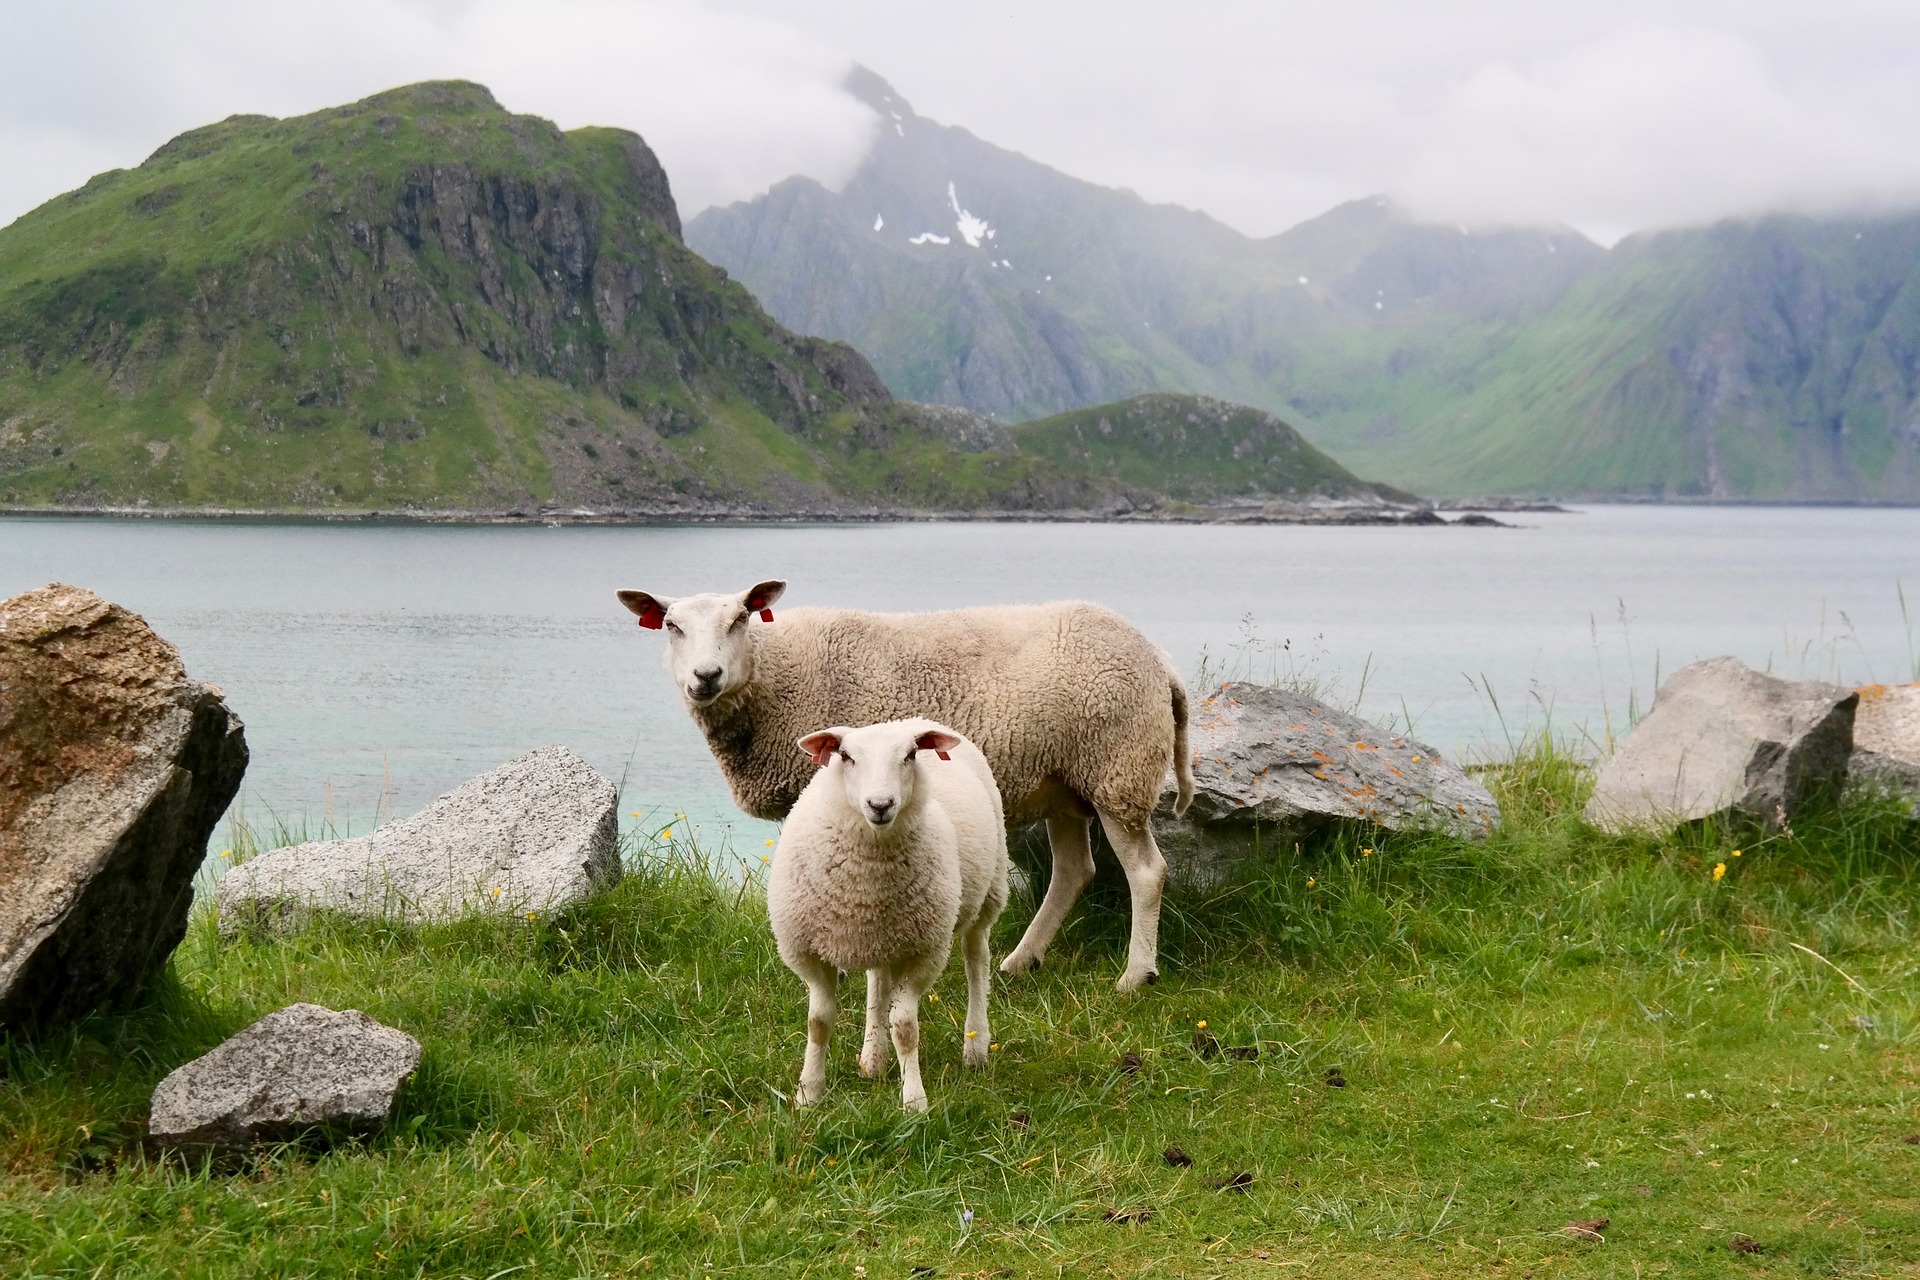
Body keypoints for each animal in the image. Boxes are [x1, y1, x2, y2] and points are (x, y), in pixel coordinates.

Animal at [614, 579, 1190, 990]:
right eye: (670, 626)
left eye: (739, 619)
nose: (706, 676)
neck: (774, 675)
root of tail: (1159, 658)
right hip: (1067, 784)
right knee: (1074, 871)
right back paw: (1021, 961)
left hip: (1119, 769)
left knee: (1146, 872)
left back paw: (1135, 975)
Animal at [764, 721, 1013, 1113]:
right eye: (846, 756)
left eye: (910, 756)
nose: (880, 805)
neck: (866, 881)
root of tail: (912, 719)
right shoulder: (808, 952)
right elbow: (818, 1023)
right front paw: (808, 1093)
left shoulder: (925, 953)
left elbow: (905, 1028)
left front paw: (914, 1100)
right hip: (884, 935)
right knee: (878, 981)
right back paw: (874, 1059)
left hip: (989, 892)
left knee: (977, 961)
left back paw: (975, 1048)